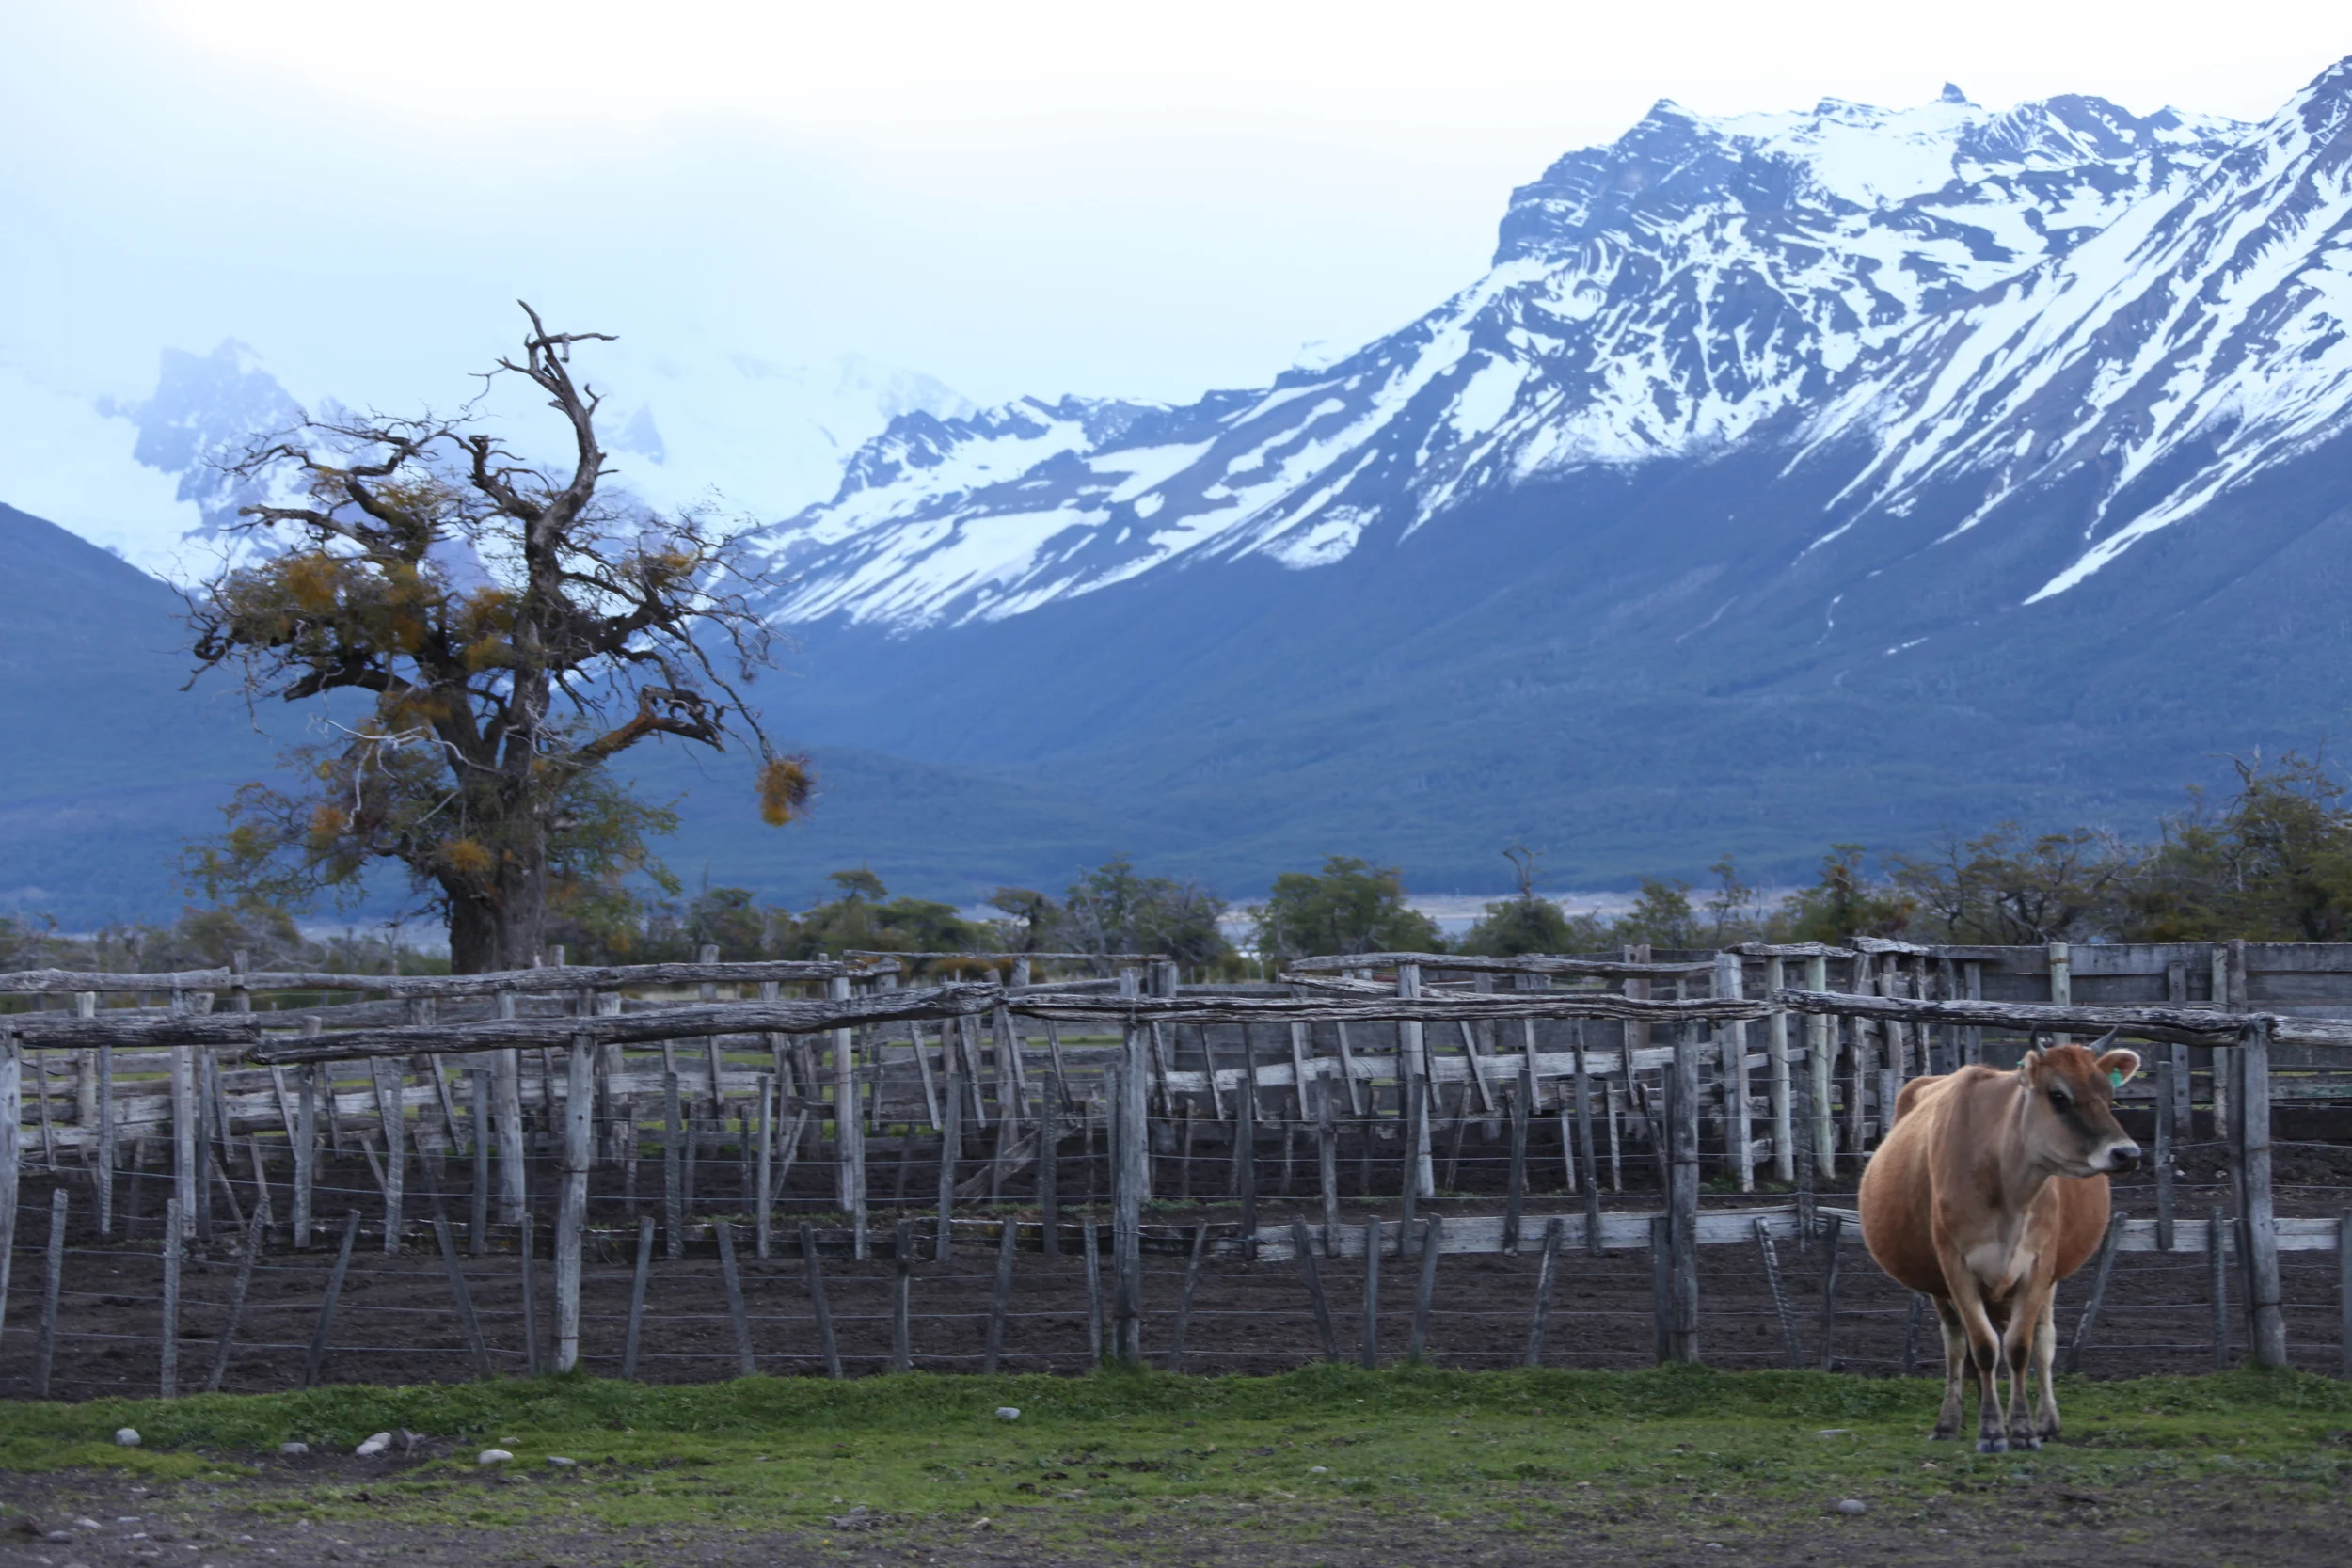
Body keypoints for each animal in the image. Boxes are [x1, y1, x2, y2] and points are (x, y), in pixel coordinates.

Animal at [1857, 1034, 2142, 1453]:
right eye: (2058, 1096)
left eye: (2109, 1095)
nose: (2127, 1153)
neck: (2007, 1190)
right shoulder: (1954, 1264)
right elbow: (1984, 1347)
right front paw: (1991, 1430)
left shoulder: (2039, 1263)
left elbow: (2020, 1346)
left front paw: (2022, 1429)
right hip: (1939, 1285)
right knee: (1956, 1344)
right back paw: (1951, 1421)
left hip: (2046, 1279)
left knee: (2043, 1340)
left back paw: (2046, 1422)